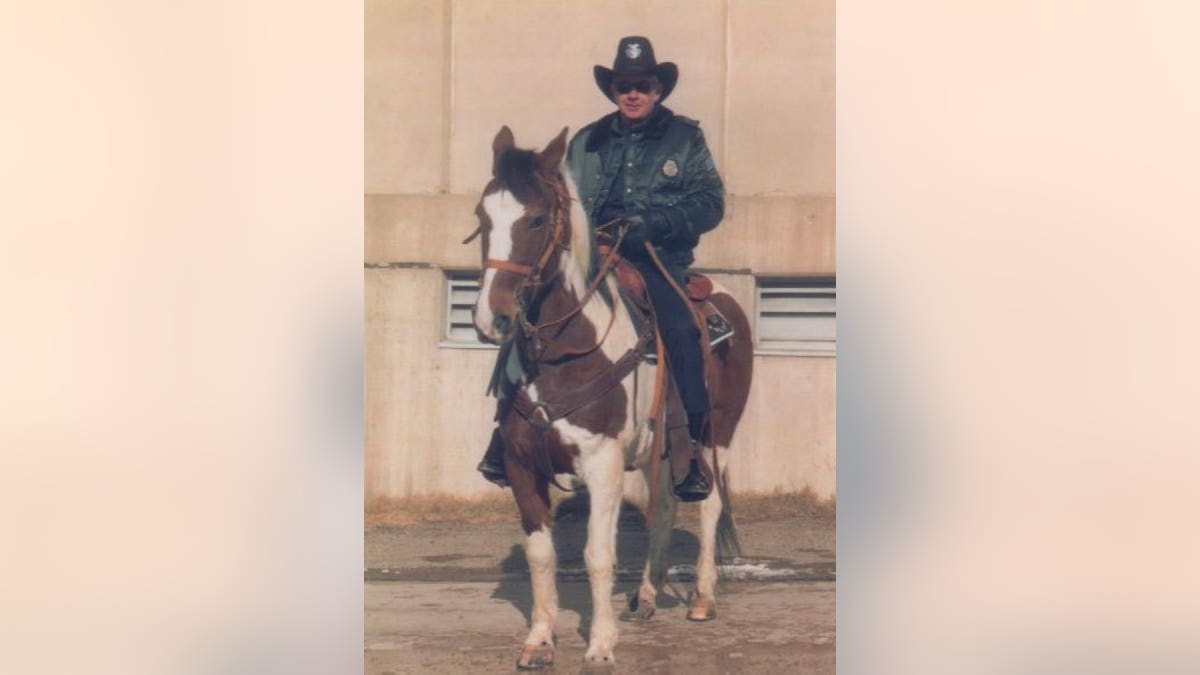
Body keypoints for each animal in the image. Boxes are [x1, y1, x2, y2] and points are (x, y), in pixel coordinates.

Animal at [468, 126, 748, 667]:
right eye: (482, 216)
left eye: (537, 218)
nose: (494, 319)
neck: (565, 350)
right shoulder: (520, 463)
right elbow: (541, 554)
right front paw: (539, 641)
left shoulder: (602, 462)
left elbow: (598, 554)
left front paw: (599, 645)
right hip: (667, 447)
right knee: (665, 508)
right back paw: (646, 597)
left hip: (717, 435)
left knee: (708, 507)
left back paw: (702, 598)